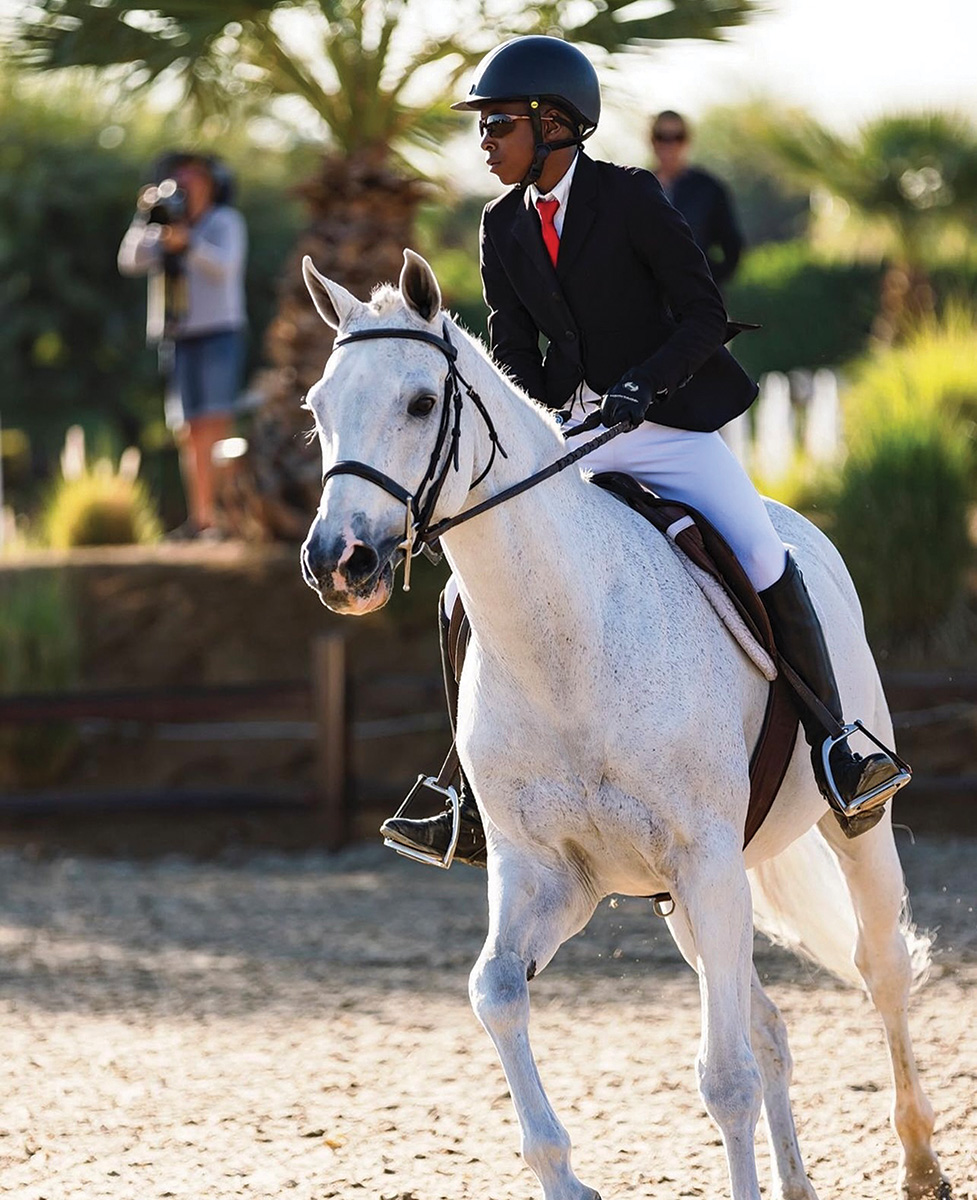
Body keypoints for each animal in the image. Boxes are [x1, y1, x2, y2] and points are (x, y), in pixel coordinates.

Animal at [302, 250, 950, 1200]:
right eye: (317, 408)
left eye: (420, 402)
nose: (336, 563)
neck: (564, 644)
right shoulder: (548, 873)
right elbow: (495, 989)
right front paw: (564, 1179)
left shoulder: (703, 859)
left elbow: (724, 1078)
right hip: (685, 897)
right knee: (768, 1025)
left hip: (840, 834)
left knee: (880, 972)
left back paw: (919, 1161)